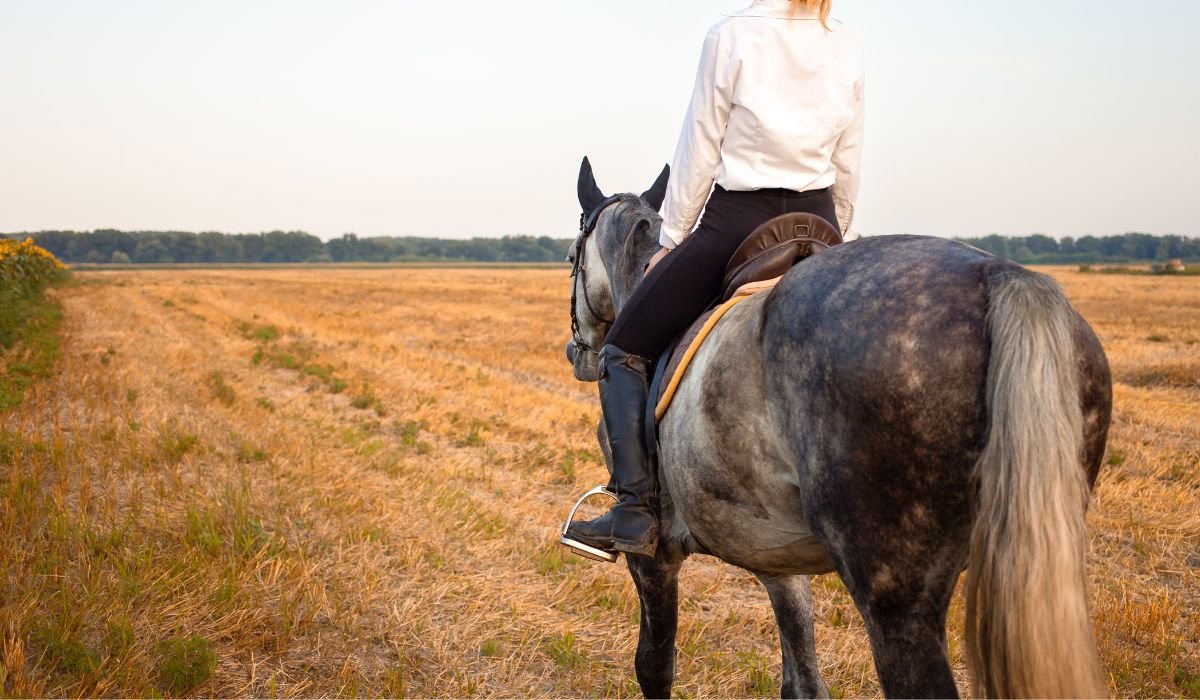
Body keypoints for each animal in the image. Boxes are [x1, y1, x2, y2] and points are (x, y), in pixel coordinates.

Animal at [564, 159, 1113, 698]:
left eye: (572, 254)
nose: (577, 353)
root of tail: (1000, 276)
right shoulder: (777, 558)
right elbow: (803, 680)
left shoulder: (654, 557)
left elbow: (654, 667)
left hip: (896, 601)